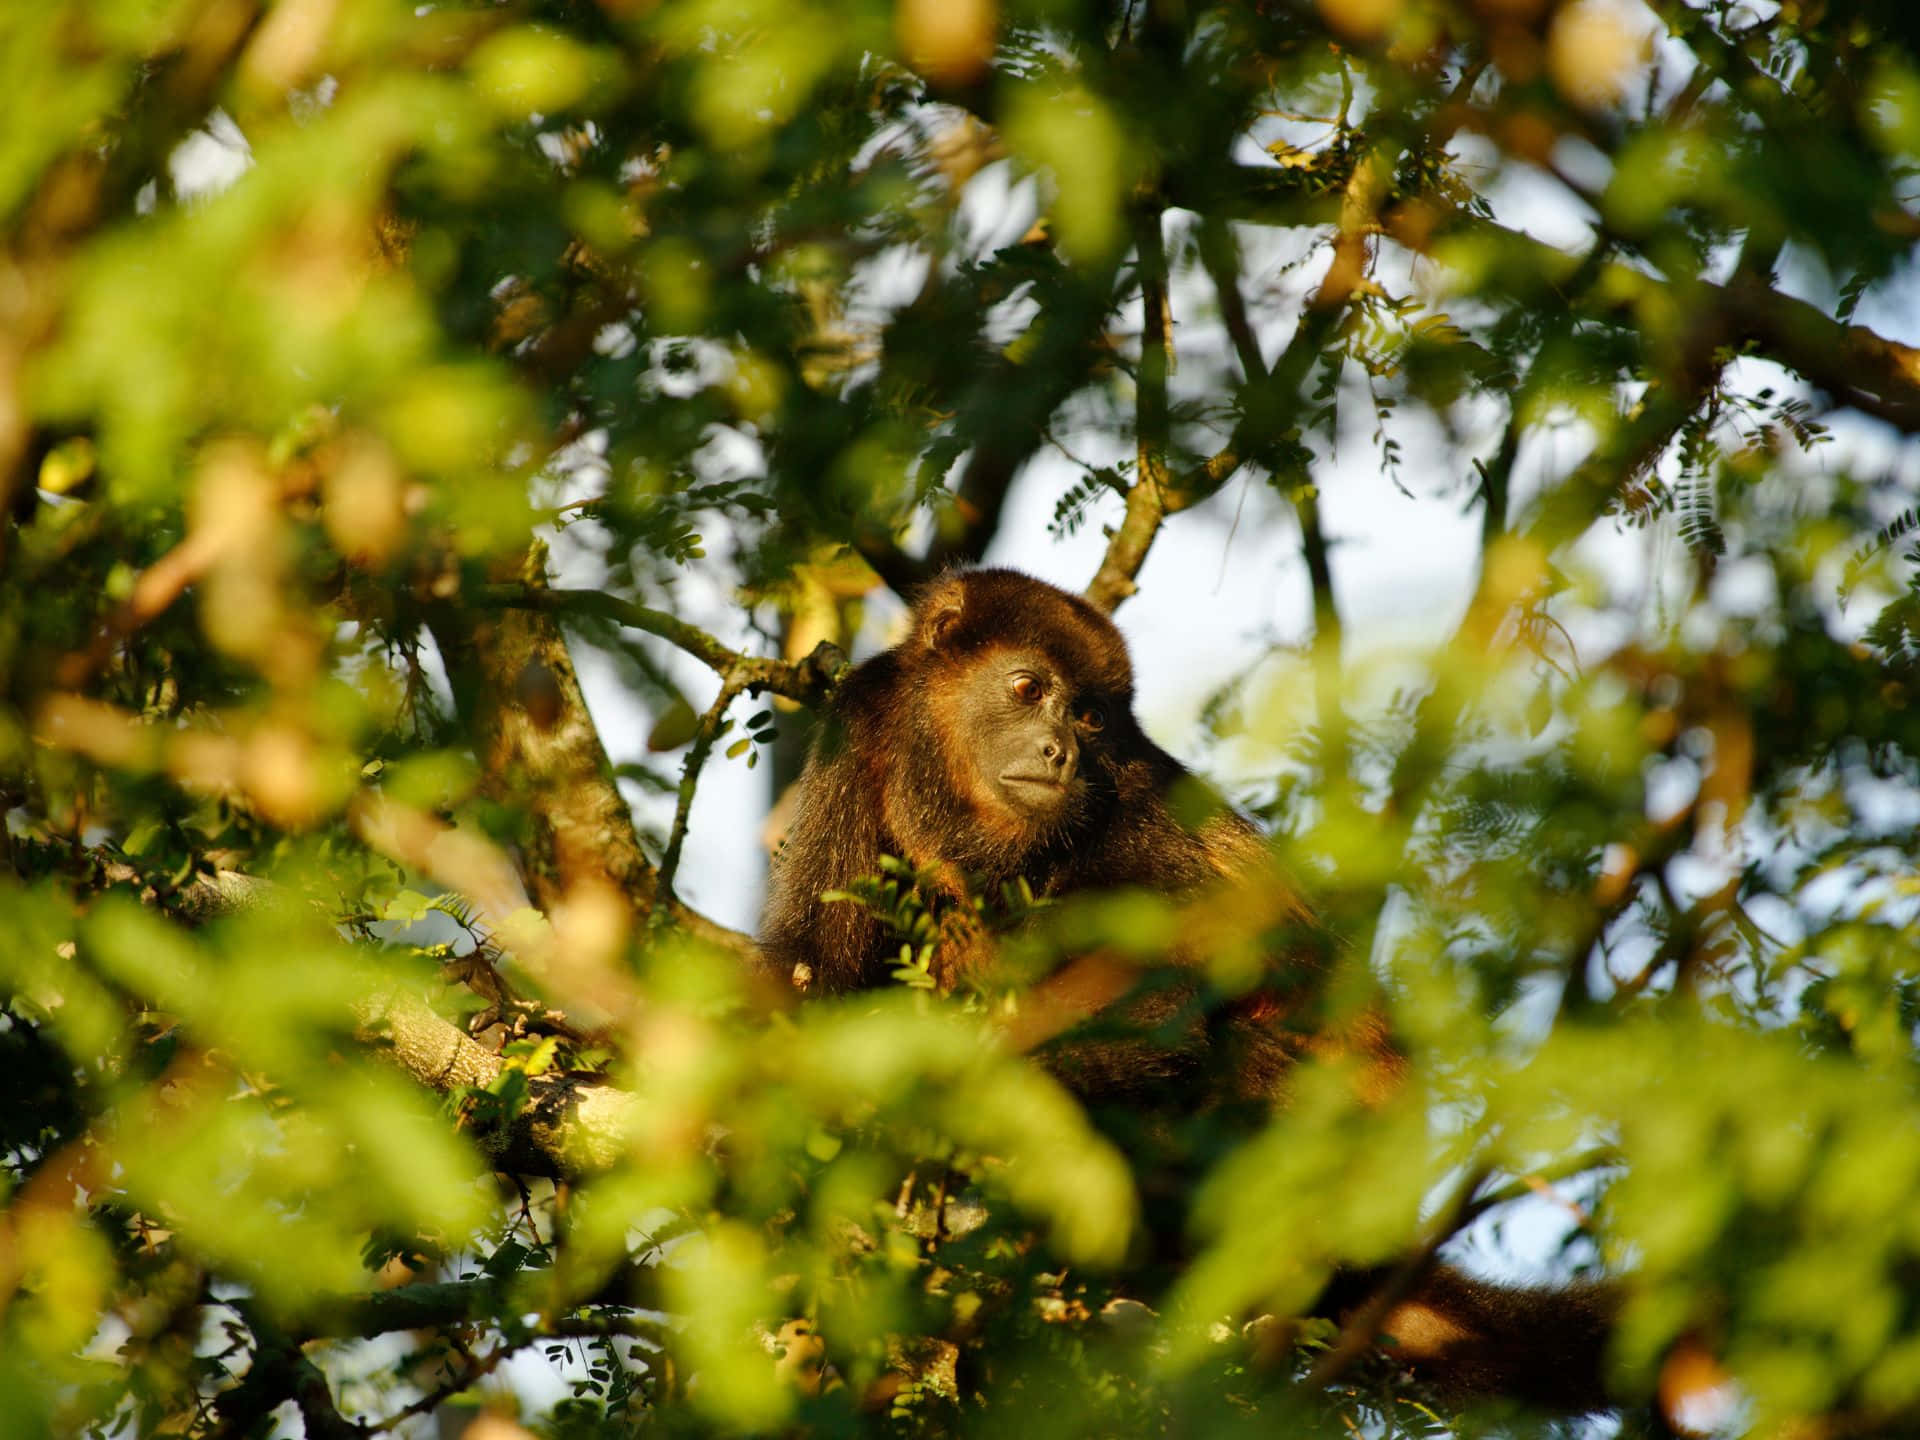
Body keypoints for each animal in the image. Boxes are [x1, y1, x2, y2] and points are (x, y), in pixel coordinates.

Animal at [759, 567, 1627, 1418]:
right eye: (1026, 687)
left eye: (1090, 719)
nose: (1061, 753)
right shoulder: (860, 723)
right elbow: (816, 964)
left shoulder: (1130, 815)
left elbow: (1161, 1013)